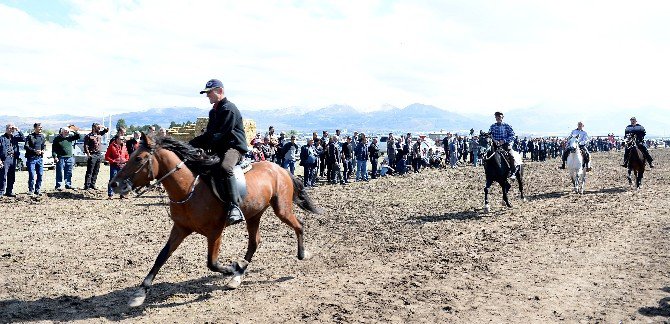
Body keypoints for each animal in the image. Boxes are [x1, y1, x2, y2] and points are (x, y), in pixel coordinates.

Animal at [109, 134, 322, 306]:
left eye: (138, 158)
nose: (114, 184)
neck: (189, 189)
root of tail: (280, 169)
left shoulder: (215, 232)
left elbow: (212, 263)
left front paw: (233, 267)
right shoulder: (180, 229)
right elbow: (161, 256)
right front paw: (140, 293)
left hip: (281, 209)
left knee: (298, 225)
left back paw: (302, 254)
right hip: (254, 214)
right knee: (254, 242)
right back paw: (238, 276)